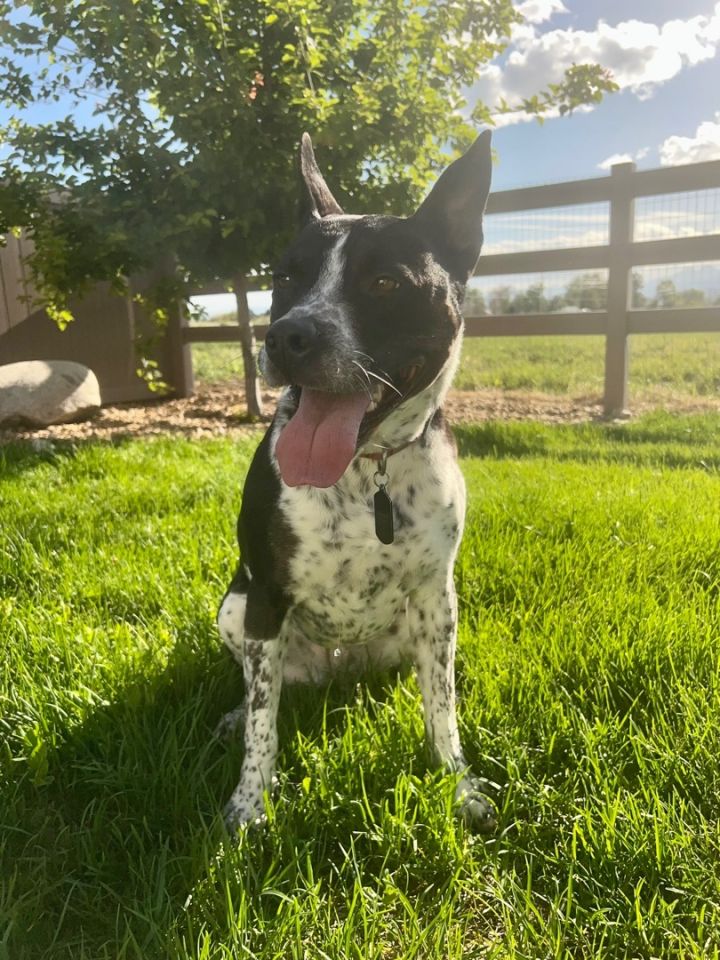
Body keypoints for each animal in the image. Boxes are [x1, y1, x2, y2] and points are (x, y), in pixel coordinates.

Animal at [215, 129, 496, 832]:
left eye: (384, 282)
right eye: (285, 276)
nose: (287, 336)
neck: (367, 471)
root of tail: (337, 671)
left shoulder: (437, 596)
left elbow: (443, 707)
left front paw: (458, 785)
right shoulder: (265, 597)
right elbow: (264, 723)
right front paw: (249, 805)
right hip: (236, 608)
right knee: (257, 686)